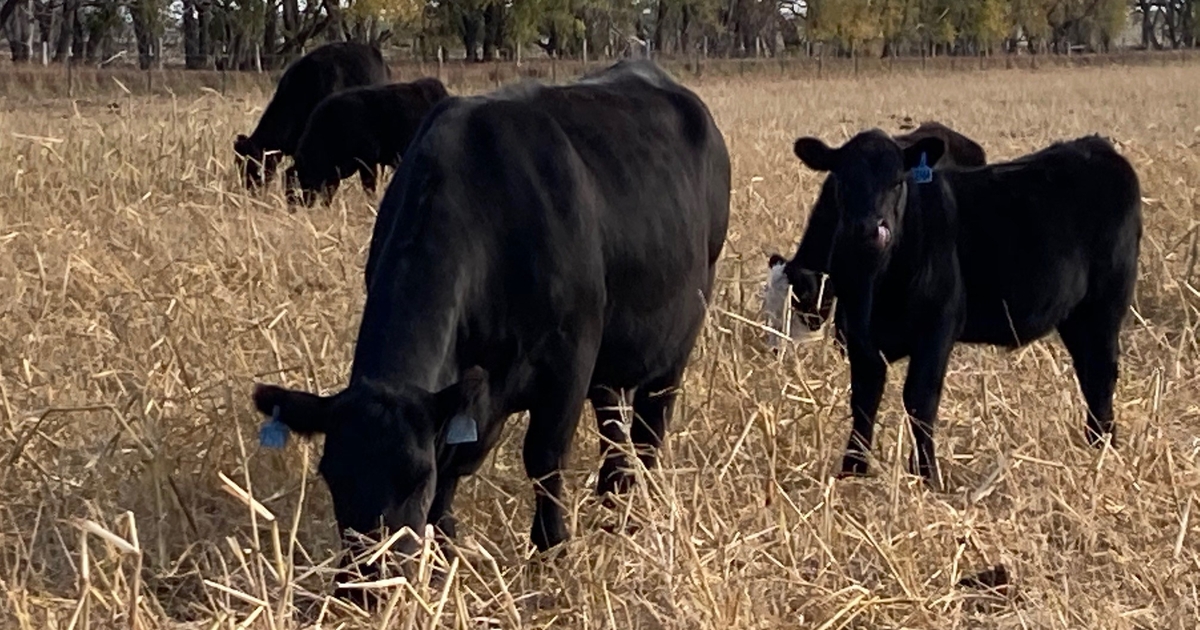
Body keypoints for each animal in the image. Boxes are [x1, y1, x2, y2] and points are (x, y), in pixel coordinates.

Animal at [782, 129, 1137, 487]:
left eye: (897, 182)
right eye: (843, 180)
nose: (871, 229)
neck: (875, 282)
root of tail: (1093, 145)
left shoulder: (937, 328)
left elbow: (920, 400)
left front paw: (928, 476)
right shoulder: (859, 337)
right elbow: (863, 402)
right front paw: (851, 471)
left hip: (1105, 305)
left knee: (1102, 373)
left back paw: (1105, 447)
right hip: (1076, 317)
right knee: (1088, 373)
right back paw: (1096, 443)